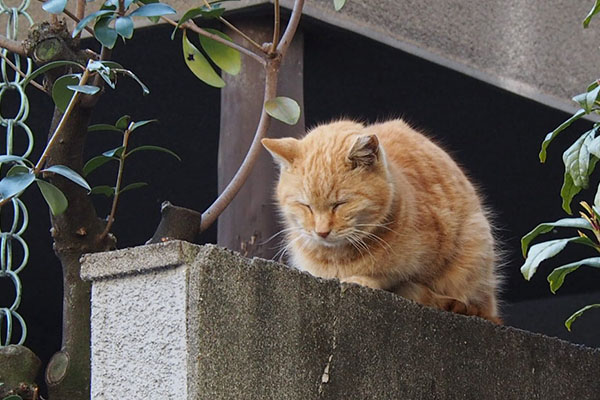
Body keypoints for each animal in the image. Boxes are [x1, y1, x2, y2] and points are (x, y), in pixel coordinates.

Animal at [262, 119, 502, 324]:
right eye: (306, 206)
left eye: (340, 204)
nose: (322, 232)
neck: (337, 259)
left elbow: (390, 276)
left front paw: (361, 279)